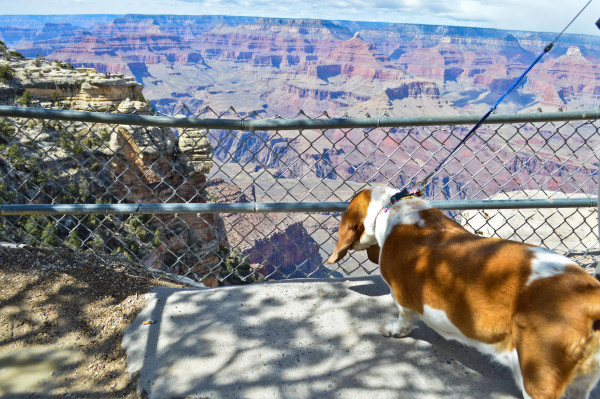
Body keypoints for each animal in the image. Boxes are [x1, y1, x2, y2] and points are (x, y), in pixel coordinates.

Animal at [328, 188, 600, 399]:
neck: (394, 206)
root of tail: (589, 299)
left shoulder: (401, 295)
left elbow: (404, 316)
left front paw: (395, 330)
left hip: (536, 377)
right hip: (581, 381)